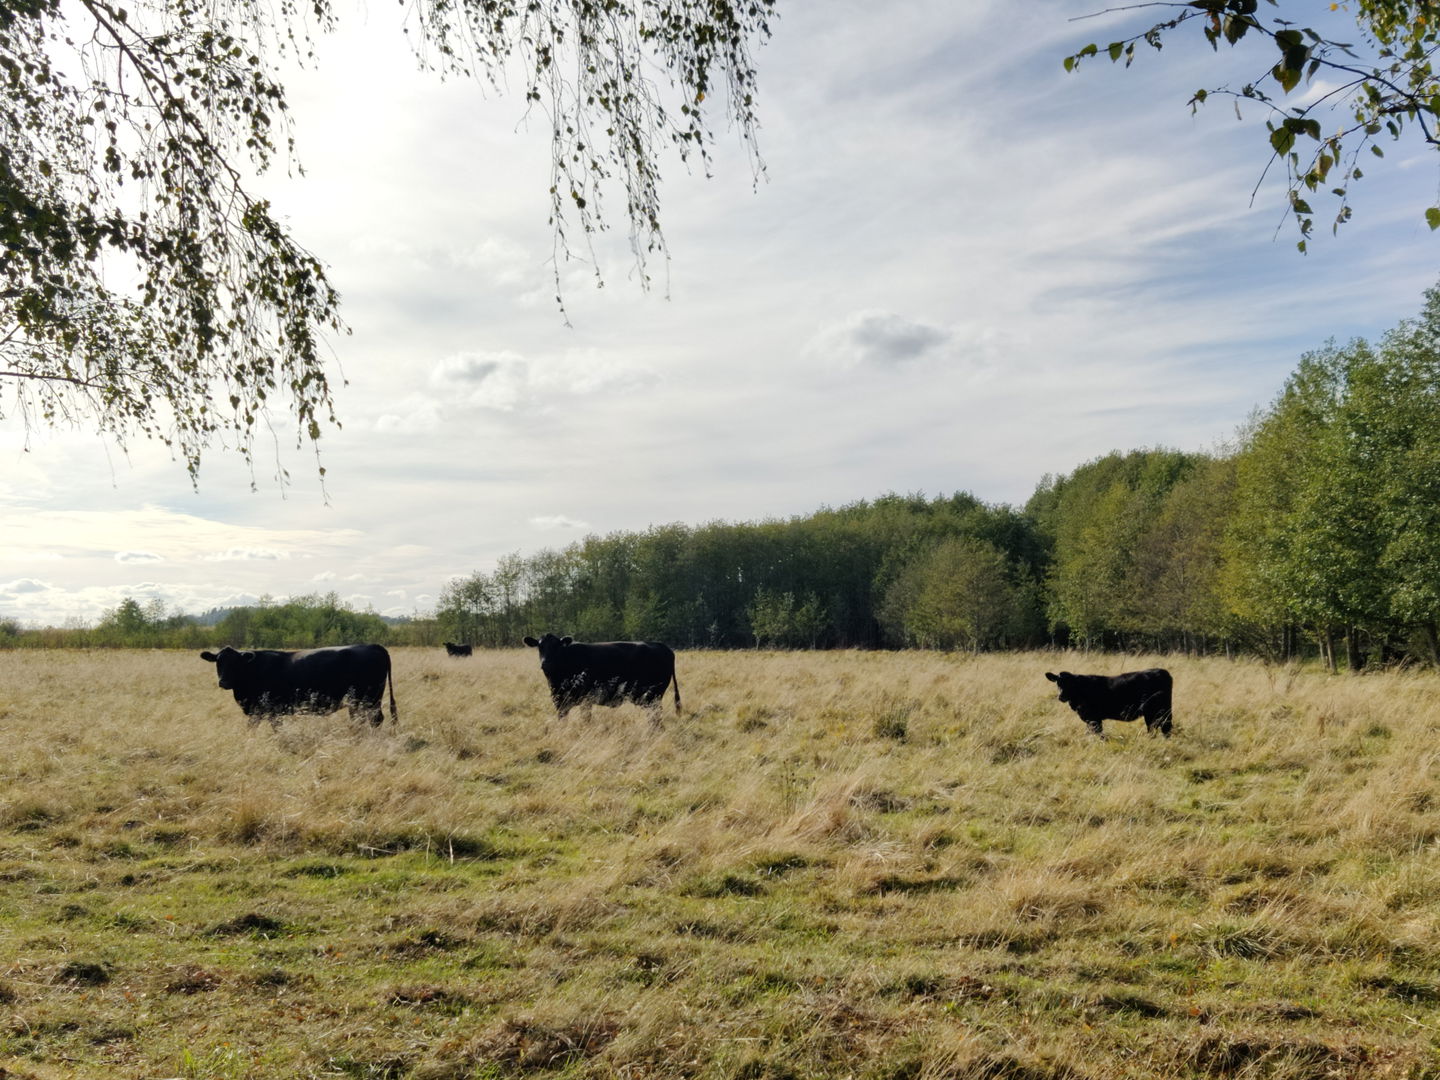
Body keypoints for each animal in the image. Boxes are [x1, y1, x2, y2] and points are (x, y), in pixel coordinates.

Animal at [200, 648, 397, 731]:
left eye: (236, 663)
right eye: (218, 661)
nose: (223, 682)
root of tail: (373, 646)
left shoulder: (268, 710)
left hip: (370, 698)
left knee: (375, 719)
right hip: (361, 701)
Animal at [524, 633, 679, 728]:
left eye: (556, 647)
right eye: (540, 646)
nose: (545, 663)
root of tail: (663, 646)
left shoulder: (586, 698)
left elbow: (586, 718)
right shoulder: (559, 700)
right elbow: (563, 719)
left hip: (653, 695)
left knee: (655, 716)